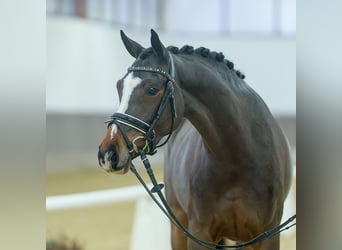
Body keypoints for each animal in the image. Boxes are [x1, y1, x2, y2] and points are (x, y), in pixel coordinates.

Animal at [97, 29, 292, 250]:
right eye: (119, 86)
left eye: (152, 89)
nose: (108, 154)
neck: (238, 158)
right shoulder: (199, 233)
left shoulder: (267, 235)